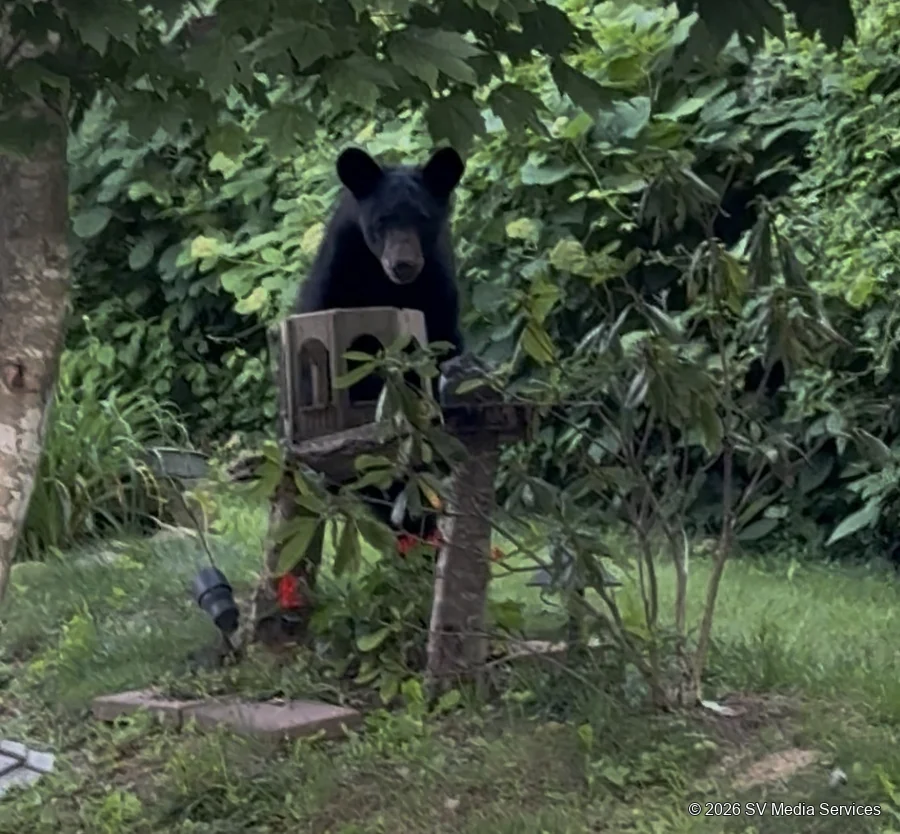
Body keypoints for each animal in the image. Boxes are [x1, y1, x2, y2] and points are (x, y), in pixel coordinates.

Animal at [292, 146, 467, 551]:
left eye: (422, 219)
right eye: (381, 220)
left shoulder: (437, 291)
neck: (386, 284)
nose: (403, 263)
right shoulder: (337, 277)